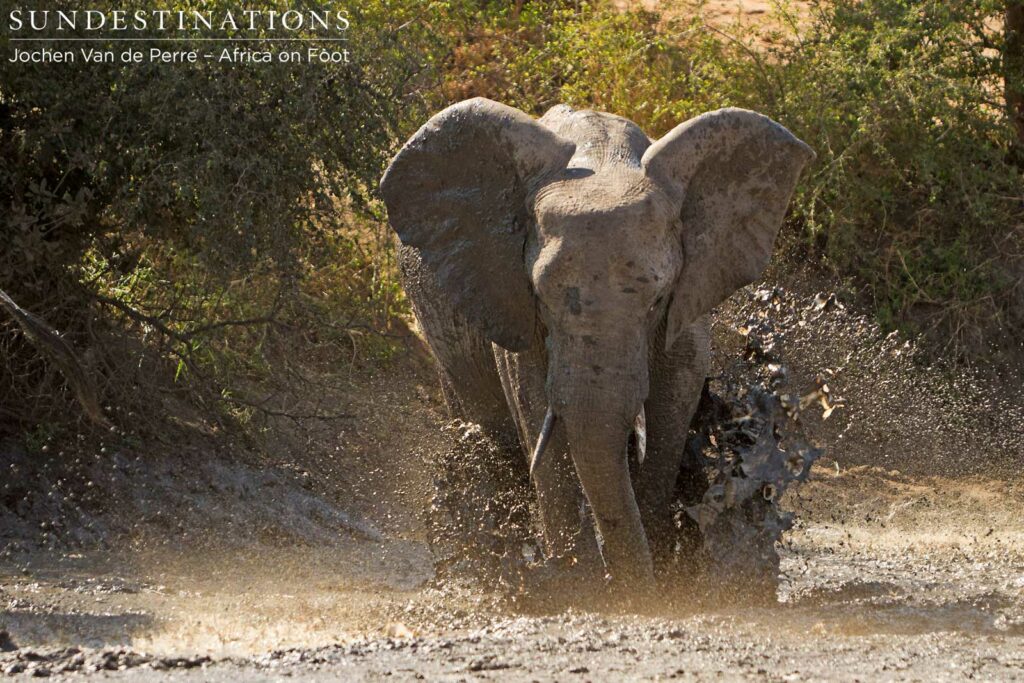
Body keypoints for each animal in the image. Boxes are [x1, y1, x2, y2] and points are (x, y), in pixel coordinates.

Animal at [380, 98, 813, 588]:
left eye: (658, 299)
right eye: (540, 295)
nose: (630, 590)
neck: (603, 160)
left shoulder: (686, 317)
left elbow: (665, 424)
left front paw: (663, 582)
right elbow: (539, 421)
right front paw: (582, 590)